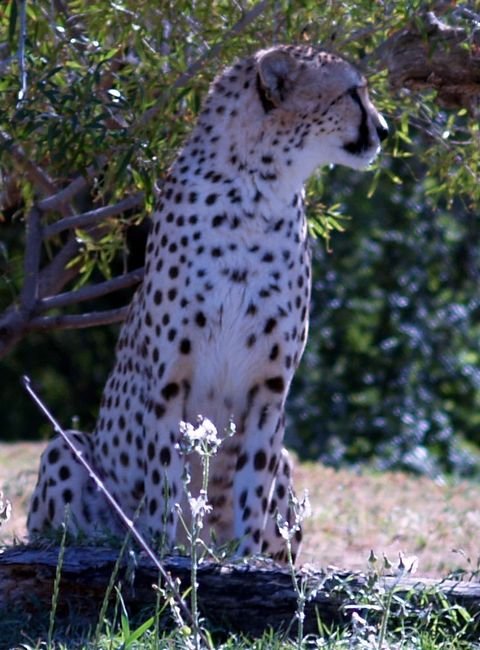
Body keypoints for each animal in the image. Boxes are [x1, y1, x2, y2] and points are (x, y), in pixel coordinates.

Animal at [27, 44, 388, 563]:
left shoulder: (269, 388)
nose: (383, 130)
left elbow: (253, 485)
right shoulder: (168, 381)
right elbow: (167, 478)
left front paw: (242, 557)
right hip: (66, 447)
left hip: (287, 467)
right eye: (352, 93)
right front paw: (169, 549)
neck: (258, 190)